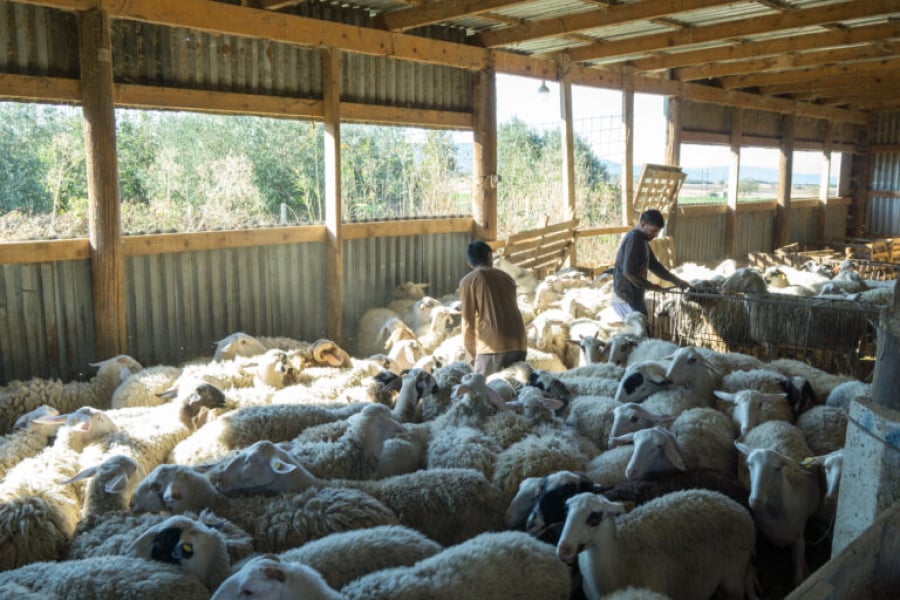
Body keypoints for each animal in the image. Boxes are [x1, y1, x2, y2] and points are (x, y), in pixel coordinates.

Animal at [740, 442, 824, 584]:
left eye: (777, 468)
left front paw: (803, 571)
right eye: (749, 464)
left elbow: (798, 580)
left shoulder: (799, 539)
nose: (756, 501)